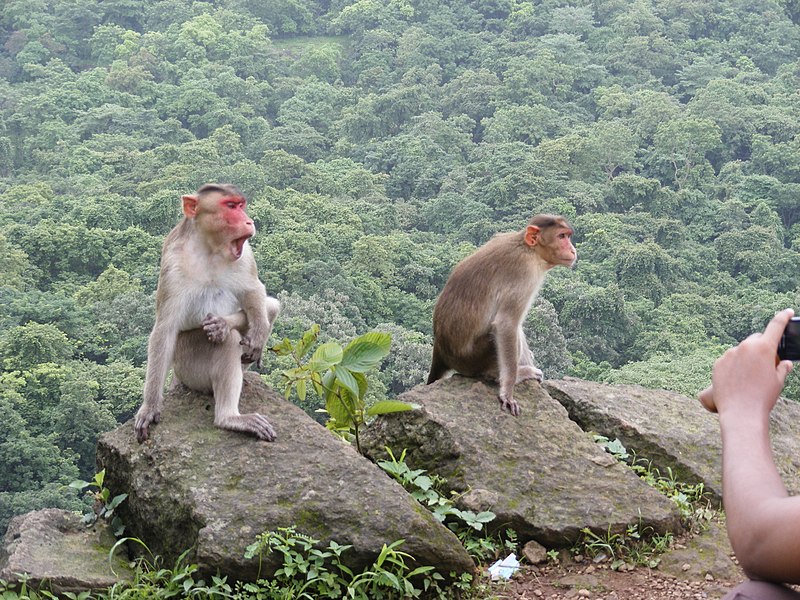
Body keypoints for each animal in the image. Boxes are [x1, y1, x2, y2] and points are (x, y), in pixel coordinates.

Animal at [133, 183, 280, 440]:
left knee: (268, 307)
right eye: (230, 206)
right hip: (188, 367)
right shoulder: (172, 263)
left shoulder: (245, 254)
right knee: (228, 343)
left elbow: (254, 291)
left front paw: (234, 327)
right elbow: (165, 329)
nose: (249, 221)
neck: (211, 248)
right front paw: (149, 407)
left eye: (241, 205)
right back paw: (228, 418)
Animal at [424, 214, 576, 418]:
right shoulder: (524, 274)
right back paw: (511, 374)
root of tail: (440, 348)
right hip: (474, 358)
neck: (528, 249)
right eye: (561, 236)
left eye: (567, 236)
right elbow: (506, 324)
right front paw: (507, 392)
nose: (573, 249)